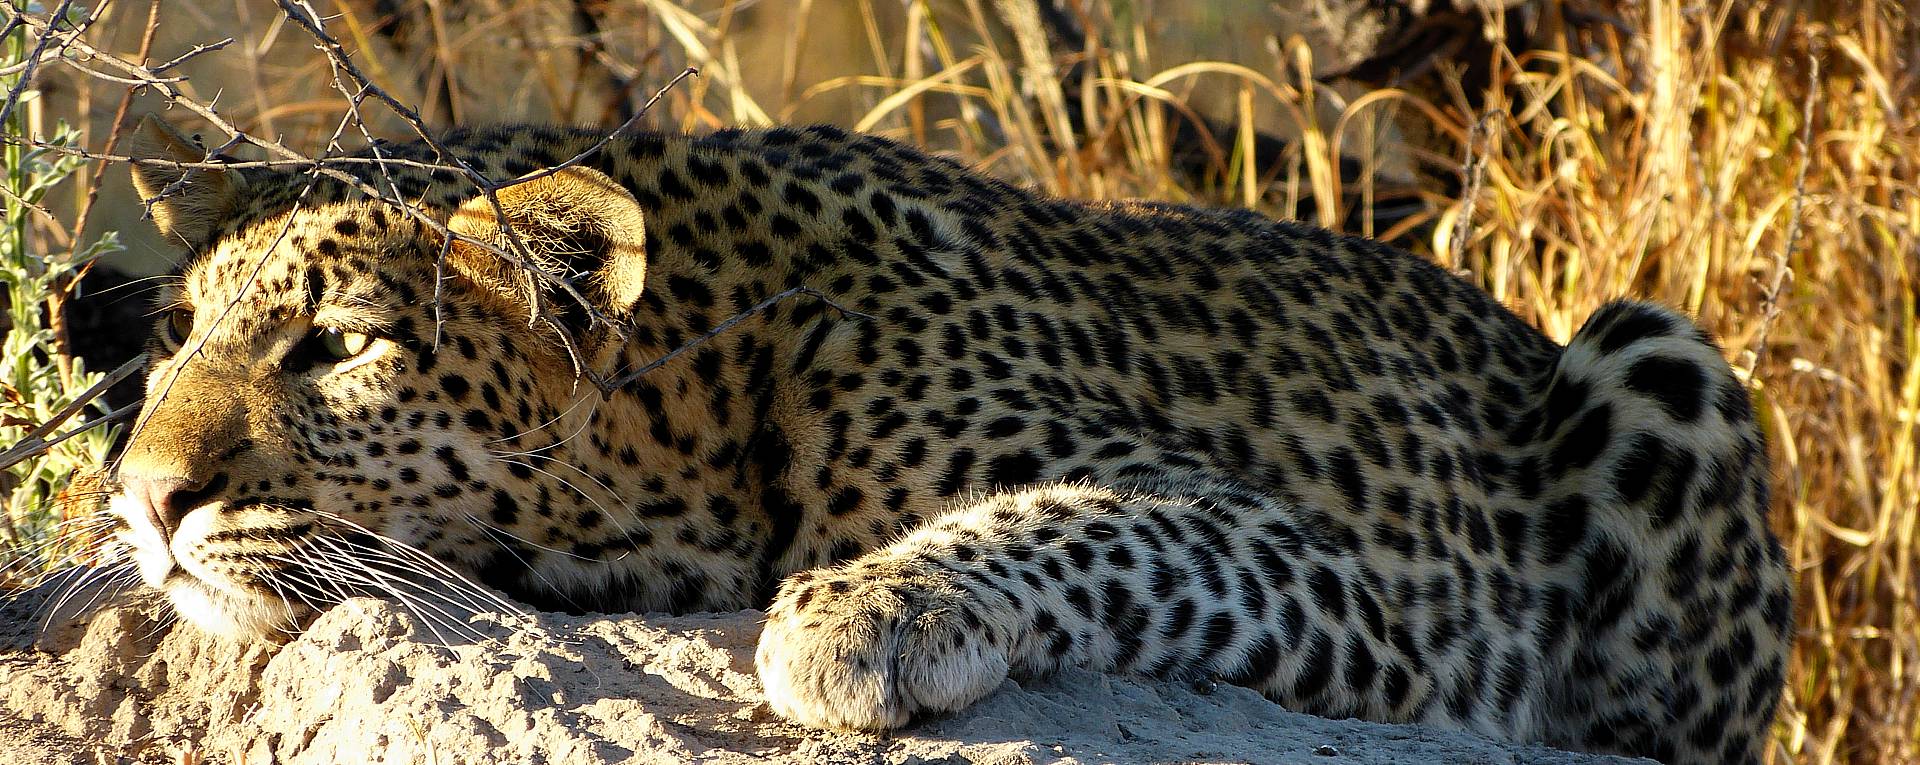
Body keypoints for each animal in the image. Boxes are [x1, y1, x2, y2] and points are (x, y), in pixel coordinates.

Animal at [101, 114, 1781, 765]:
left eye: (339, 346)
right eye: (178, 334)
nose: (144, 501)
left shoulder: (1332, 574)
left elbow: (1089, 516)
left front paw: (866, 612)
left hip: (1659, 351)